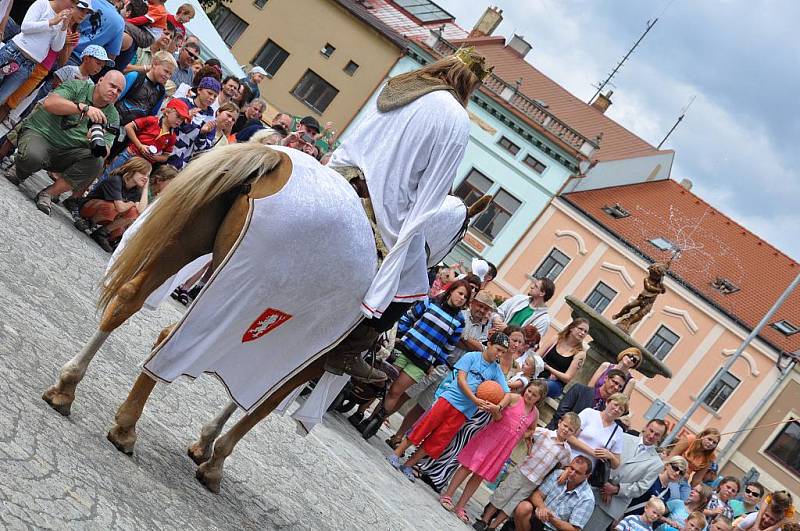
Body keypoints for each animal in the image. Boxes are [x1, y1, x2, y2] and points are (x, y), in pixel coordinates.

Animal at [42, 142, 494, 494]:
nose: (436, 274)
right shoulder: (307, 357)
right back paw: (125, 427)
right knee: (168, 341)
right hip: (233, 298)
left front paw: (203, 445)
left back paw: (66, 388)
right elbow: (260, 407)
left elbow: (243, 395)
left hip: (187, 245)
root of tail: (276, 160)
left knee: (126, 303)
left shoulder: (282, 347)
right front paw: (214, 463)